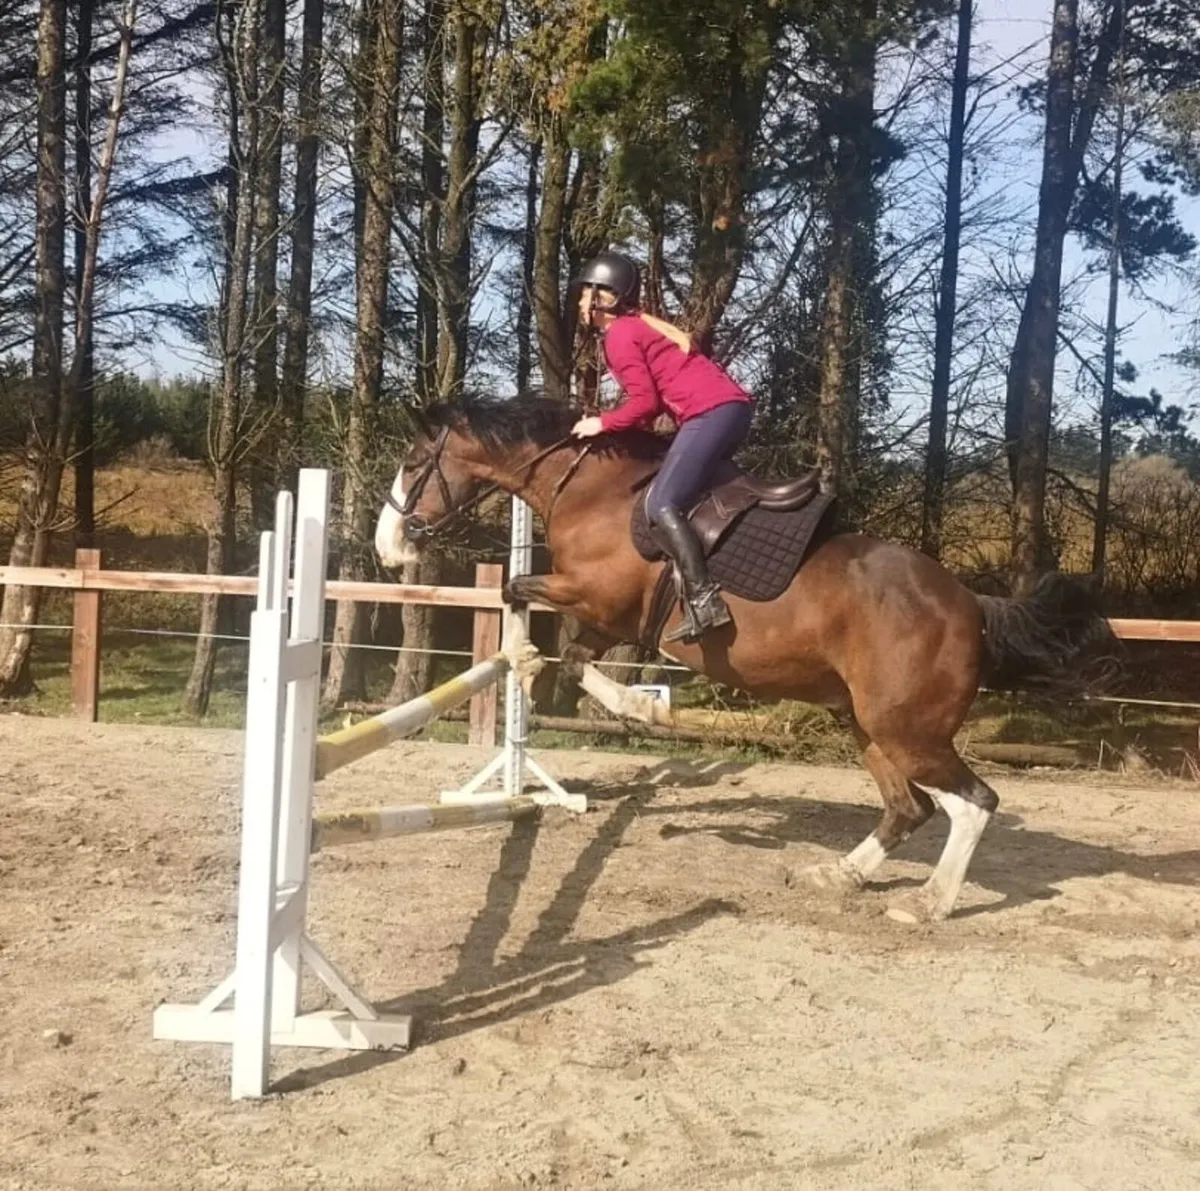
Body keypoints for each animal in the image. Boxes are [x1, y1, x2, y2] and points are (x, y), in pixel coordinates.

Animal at [374, 395, 1117, 923]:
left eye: (412, 465)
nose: (387, 549)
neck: (591, 491)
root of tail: (972, 605)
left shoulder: (601, 598)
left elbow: (521, 596)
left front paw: (637, 706)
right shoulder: (607, 618)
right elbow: (569, 650)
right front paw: (550, 674)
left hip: (907, 727)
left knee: (974, 801)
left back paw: (927, 903)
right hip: (866, 722)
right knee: (909, 808)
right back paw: (840, 874)